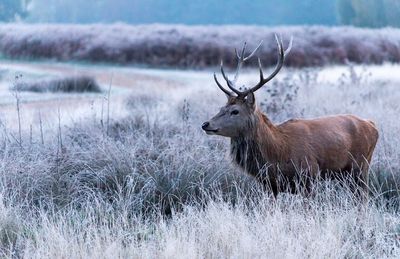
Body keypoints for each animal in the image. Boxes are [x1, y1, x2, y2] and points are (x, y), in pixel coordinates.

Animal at [203, 36, 378, 199]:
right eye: (221, 108)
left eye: (235, 111)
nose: (206, 124)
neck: (277, 153)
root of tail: (372, 125)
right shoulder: (269, 185)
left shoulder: (308, 176)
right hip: (345, 174)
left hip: (361, 166)